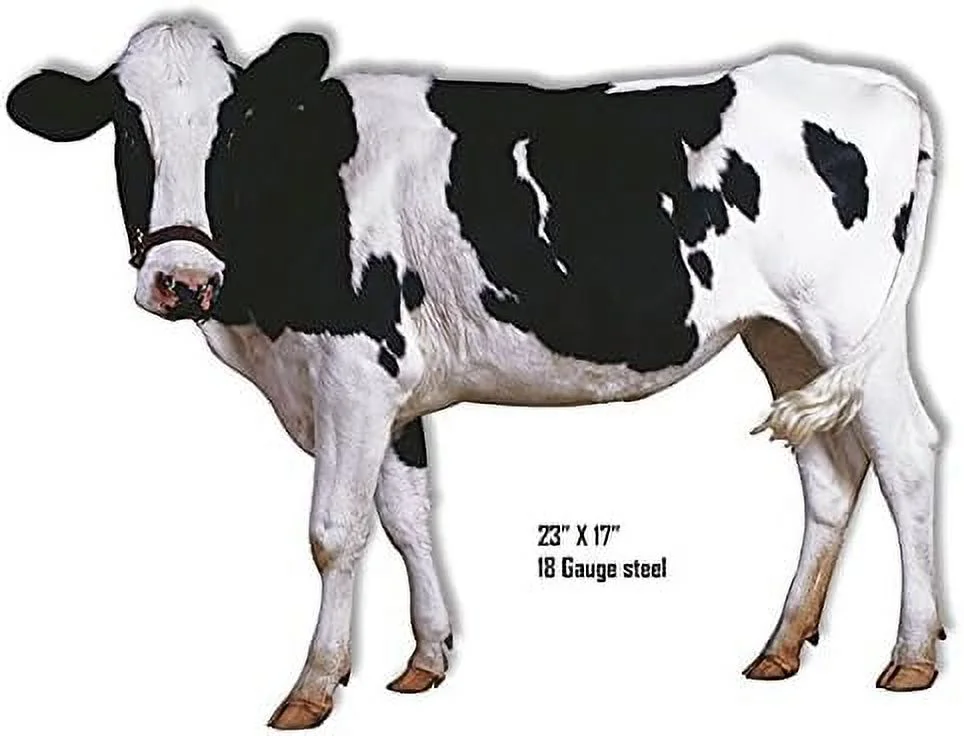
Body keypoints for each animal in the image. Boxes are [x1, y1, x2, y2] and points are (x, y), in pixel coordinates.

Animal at [6, 18, 943, 730]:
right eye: (127, 129)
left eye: (233, 127)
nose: (182, 280)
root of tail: (882, 90)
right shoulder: (388, 392)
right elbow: (407, 516)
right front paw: (426, 659)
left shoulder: (353, 373)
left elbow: (334, 531)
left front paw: (313, 687)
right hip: (781, 336)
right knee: (830, 471)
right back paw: (781, 647)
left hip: (850, 320)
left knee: (906, 456)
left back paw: (912, 655)